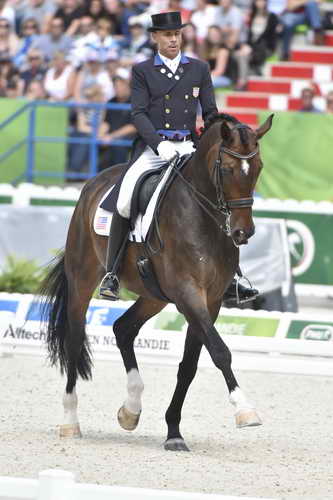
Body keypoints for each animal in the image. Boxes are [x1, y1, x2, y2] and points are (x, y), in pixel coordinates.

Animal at [39, 111, 272, 452]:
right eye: (227, 169)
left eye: (258, 168)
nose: (244, 232)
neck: (203, 216)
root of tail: (92, 184)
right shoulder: (189, 293)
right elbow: (220, 351)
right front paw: (245, 410)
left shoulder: (211, 300)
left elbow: (189, 366)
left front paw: (174, 432)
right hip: (82, 281)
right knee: (74, 339)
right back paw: (70, 421)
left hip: (154, 295)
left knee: (123, 328)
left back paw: (130, 409)